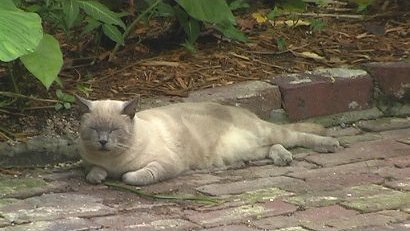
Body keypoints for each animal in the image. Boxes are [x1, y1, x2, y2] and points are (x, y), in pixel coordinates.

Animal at [76, 95, 340, 186]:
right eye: (94, 129)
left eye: (114, 130)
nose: (102, 141)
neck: (113, 161)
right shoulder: (91, 164)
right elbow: (93, 172)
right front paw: (99, 178)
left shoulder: (166, 164)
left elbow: (135, 176)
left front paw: (124, 177)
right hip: (246, 149)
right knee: (270, 148)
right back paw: (280, 159)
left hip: (265, 133)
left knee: (297, 137)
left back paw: (329, 145)